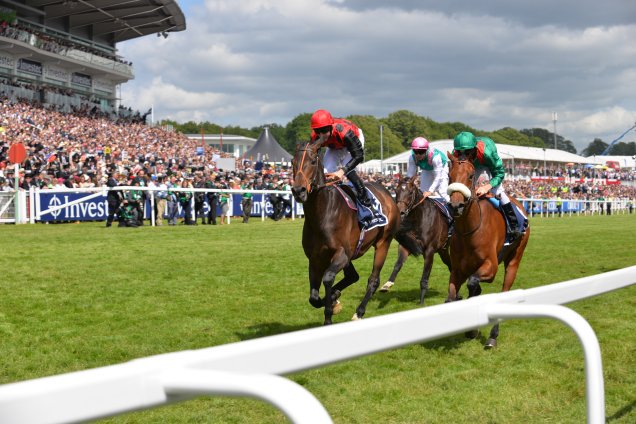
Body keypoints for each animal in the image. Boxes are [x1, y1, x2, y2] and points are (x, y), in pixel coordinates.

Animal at [292, 142, 400, 324]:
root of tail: (386, 191)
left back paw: (359, 312)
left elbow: (328, 277)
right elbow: (313, 298)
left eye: (313, 161)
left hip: (383, 242)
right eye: (292, 161)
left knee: (373, 280)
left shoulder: (342, 254)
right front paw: (333, 300)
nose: (298, 190)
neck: (322, 214)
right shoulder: (315, 258)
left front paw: (329, 312)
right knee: (353, 276)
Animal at [380, 176, 450, 304]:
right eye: (396, 191)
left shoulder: (429, 250)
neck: (419, 218)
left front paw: (421, 301)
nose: (401, 212)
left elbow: (425, 276)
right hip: (443, 249)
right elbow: (398, 265)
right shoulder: (406, 245)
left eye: (410, 192)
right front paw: (387, 285)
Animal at [448, 152, 532, 348]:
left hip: (514, 260)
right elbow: (452, 295)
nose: (456, 206)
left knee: (504, 291)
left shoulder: (491, 267)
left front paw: (473, 329)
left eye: (471, 176)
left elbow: (472, 283)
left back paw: (493, 336)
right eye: (449, 174)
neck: (469, 231)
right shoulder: (457, 270)